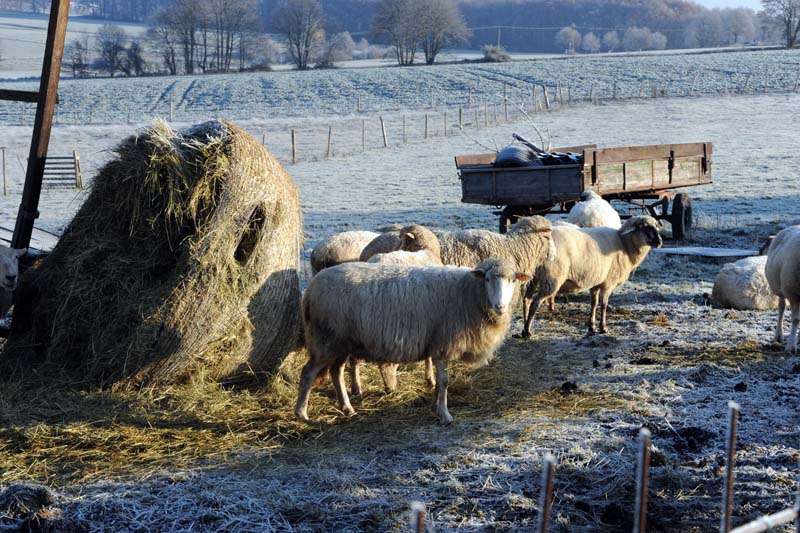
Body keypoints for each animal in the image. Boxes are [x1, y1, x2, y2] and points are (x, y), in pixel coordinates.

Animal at [294, 258, 532, 424]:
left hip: (341, 342)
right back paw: (302, 413)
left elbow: (439, 382)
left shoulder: (436, 344)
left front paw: (435, 406)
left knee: (336, 372)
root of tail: (311, 288)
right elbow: (444, 381)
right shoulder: (442, 344)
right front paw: (445, 415)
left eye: (513, 280)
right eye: (487, 279)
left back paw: (347, 408)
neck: (467, 293)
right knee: (308, 373)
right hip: (326, 338)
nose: (500, 306)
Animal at [520, 215, 660, 336]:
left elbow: (594, 304)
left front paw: (591, 327)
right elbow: (604, 305)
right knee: (536, 302)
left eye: (656, 226)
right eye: (644, 227)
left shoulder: (596, 282)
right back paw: (528, 331)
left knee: (526, 299)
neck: (625, 245)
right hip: (552, 277)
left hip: (534, 276)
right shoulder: (608, 282)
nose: (659, 241)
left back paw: (524, 327)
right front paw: (603, 328)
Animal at [764, 224, 800, 354]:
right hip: (780, 288)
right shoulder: (793, 293)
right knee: (781, 308)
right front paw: (791, 346)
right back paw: (778, 336)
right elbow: (795, 319)